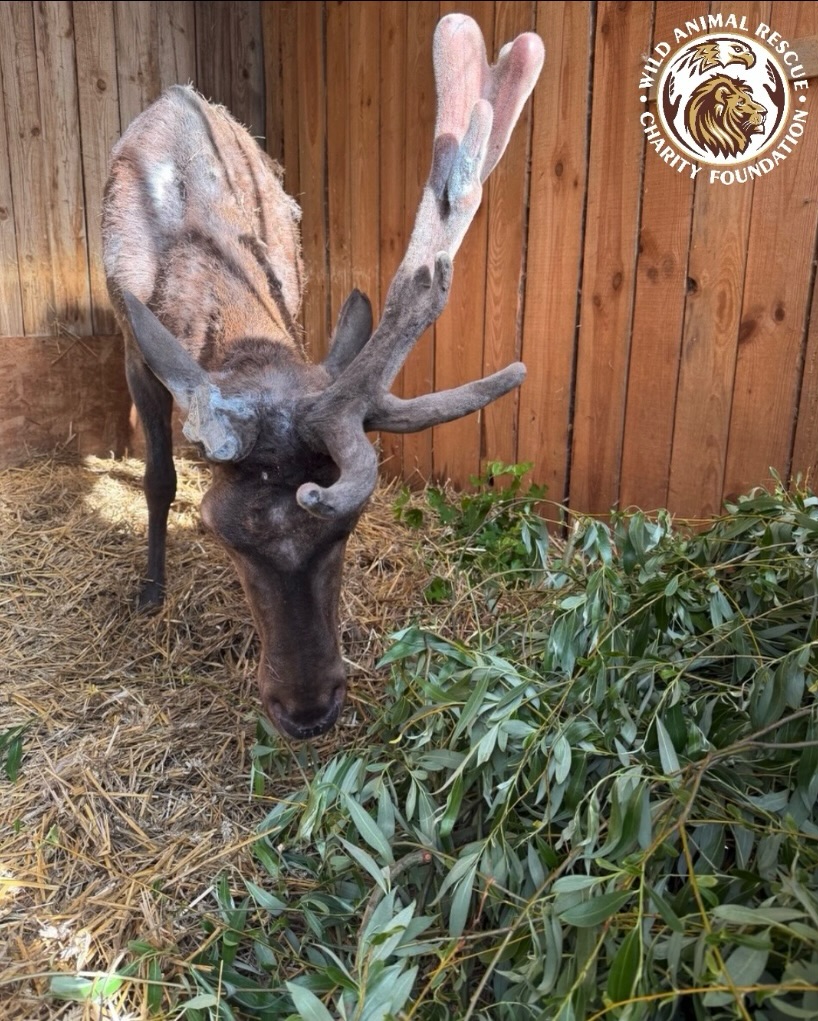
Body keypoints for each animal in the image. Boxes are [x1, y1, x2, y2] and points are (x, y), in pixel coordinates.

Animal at [102, 14, 544, 741]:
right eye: (225, 535)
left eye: (345, 529)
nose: (308, 710)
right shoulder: (136, 347)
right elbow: (159, 477)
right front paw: (150, 591)